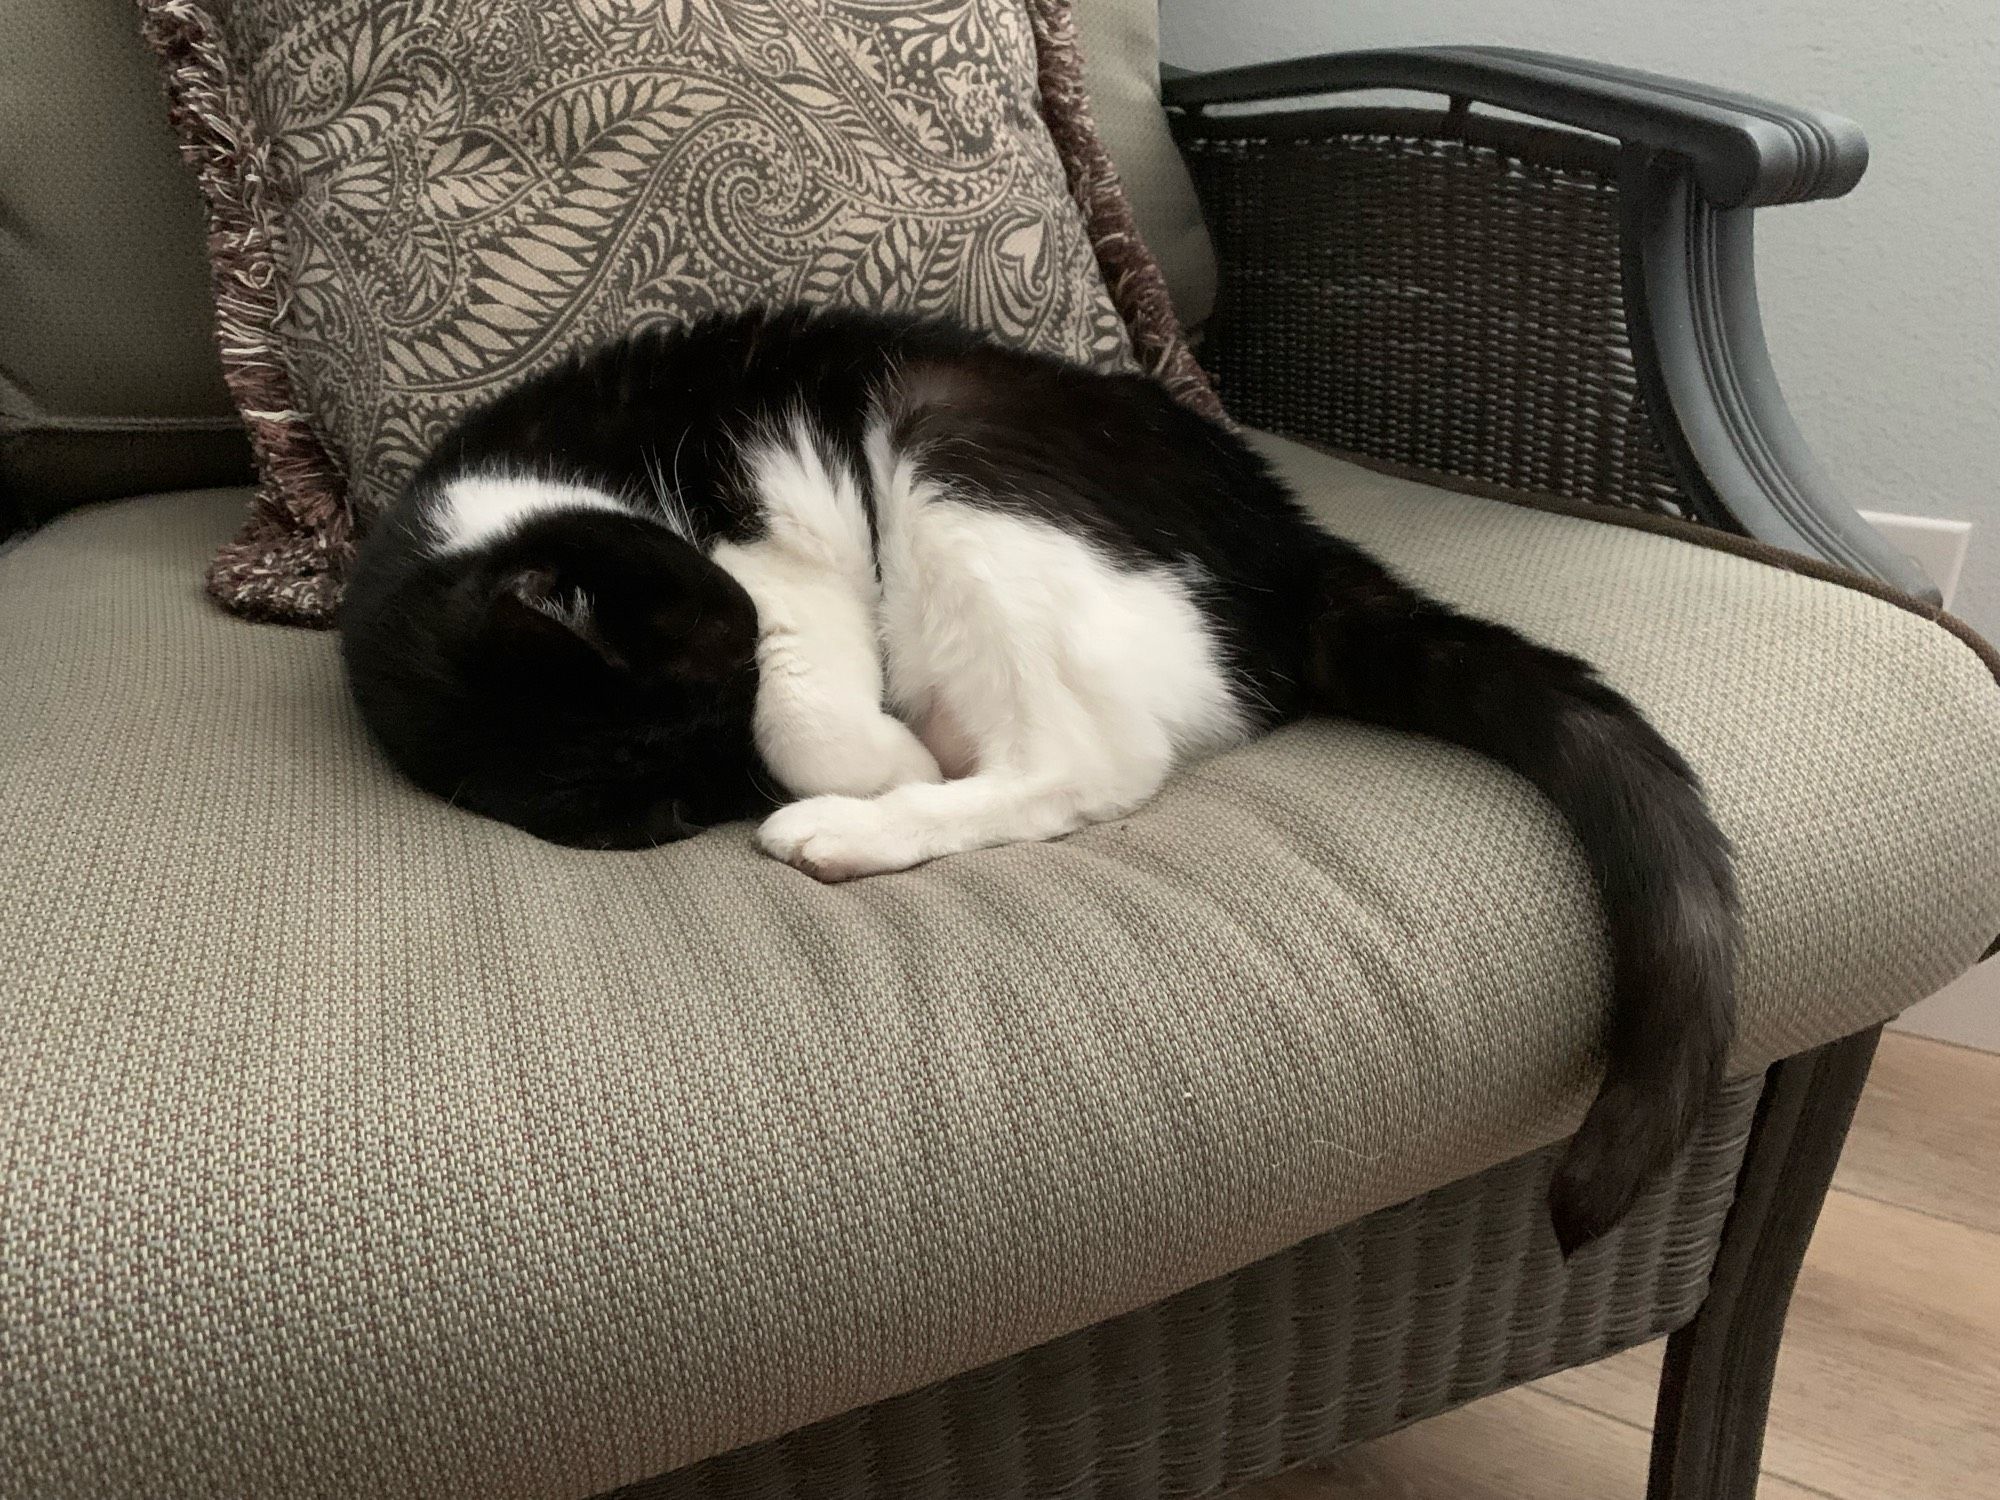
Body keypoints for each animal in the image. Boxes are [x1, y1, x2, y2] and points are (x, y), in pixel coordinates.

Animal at [340, 300, 1736, 1248]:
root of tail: (1289, 548)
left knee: (1091, 760)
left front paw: (867, 755)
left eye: (731, 657)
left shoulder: (760, 519)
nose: (742, 686)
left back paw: (854, 821)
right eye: (695, 772)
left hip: (950, 433)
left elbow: (814, 682)